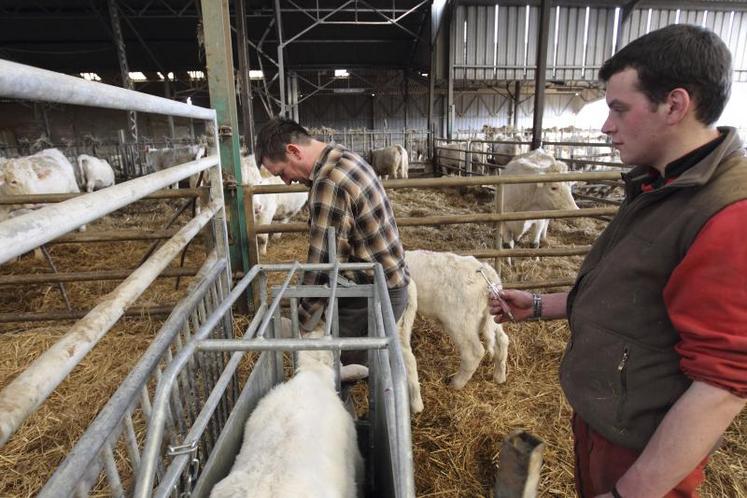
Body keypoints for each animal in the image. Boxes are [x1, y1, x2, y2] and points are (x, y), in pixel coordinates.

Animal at [400, 251, 512, 414]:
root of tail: (486, 272)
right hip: (490, 317)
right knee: (503, 340)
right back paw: (499, 376)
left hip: (460, 322)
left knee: (474, 353)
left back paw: (455, 384)